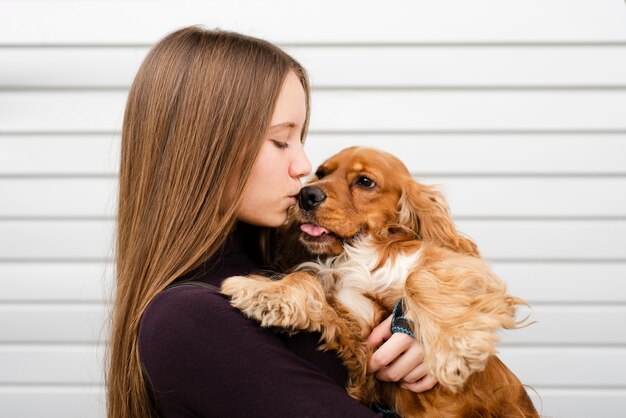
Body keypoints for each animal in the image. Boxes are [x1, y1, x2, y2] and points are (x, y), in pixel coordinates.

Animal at [222, 147, 540, 418]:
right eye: (322, 173)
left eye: (365, 182)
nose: (306, 194)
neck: (358, 252)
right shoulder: (360, 338)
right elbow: (308, 277)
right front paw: (264, 292)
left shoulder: (459, 266)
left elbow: (418, 277)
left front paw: (454, 351)